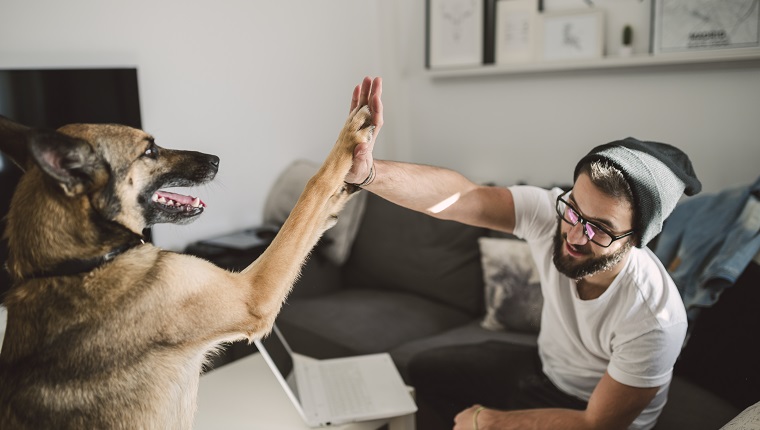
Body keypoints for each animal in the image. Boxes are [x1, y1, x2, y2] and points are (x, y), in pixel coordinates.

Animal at [0, 106, 372, 428]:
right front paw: (349, 138)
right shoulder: (252, 294)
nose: (216, 160)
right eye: (150, 151)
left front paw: (347, 189)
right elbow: (311, 191)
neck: (79, 264)